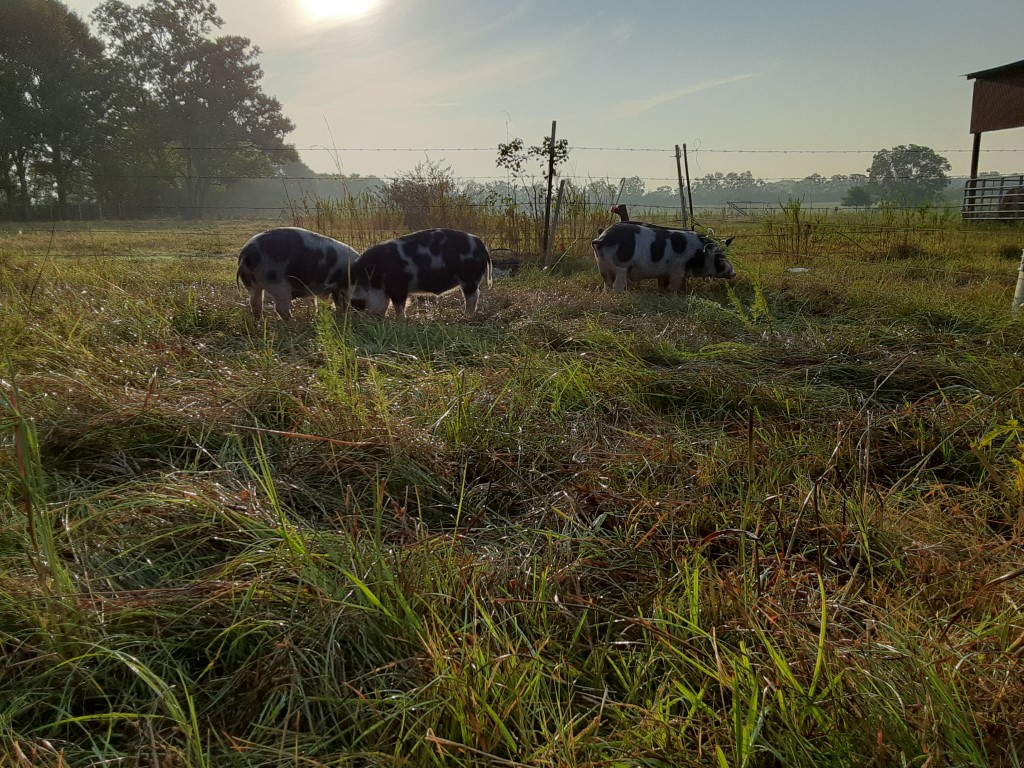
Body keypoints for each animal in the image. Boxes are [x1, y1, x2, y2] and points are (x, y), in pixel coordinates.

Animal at [346, 228, 493, 319]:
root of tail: (481, 245)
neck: (373, 277)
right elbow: (386, 304)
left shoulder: (398, 286)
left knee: (473, 296)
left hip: (469, 278)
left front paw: (401, 320)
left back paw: (466, 316)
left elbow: (399, 305)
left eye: (359, 303)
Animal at [593, 224, 737, 296]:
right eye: (719, 256)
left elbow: (665, 283)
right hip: (621, 267)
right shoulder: (677, 269)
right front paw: (675, 293)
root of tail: (602, 238)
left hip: (603, 268)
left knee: (607, 285)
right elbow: (676, 283)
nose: (734, 273)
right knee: (618, 285)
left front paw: (665, 291)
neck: (696, 253)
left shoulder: (666, 272)